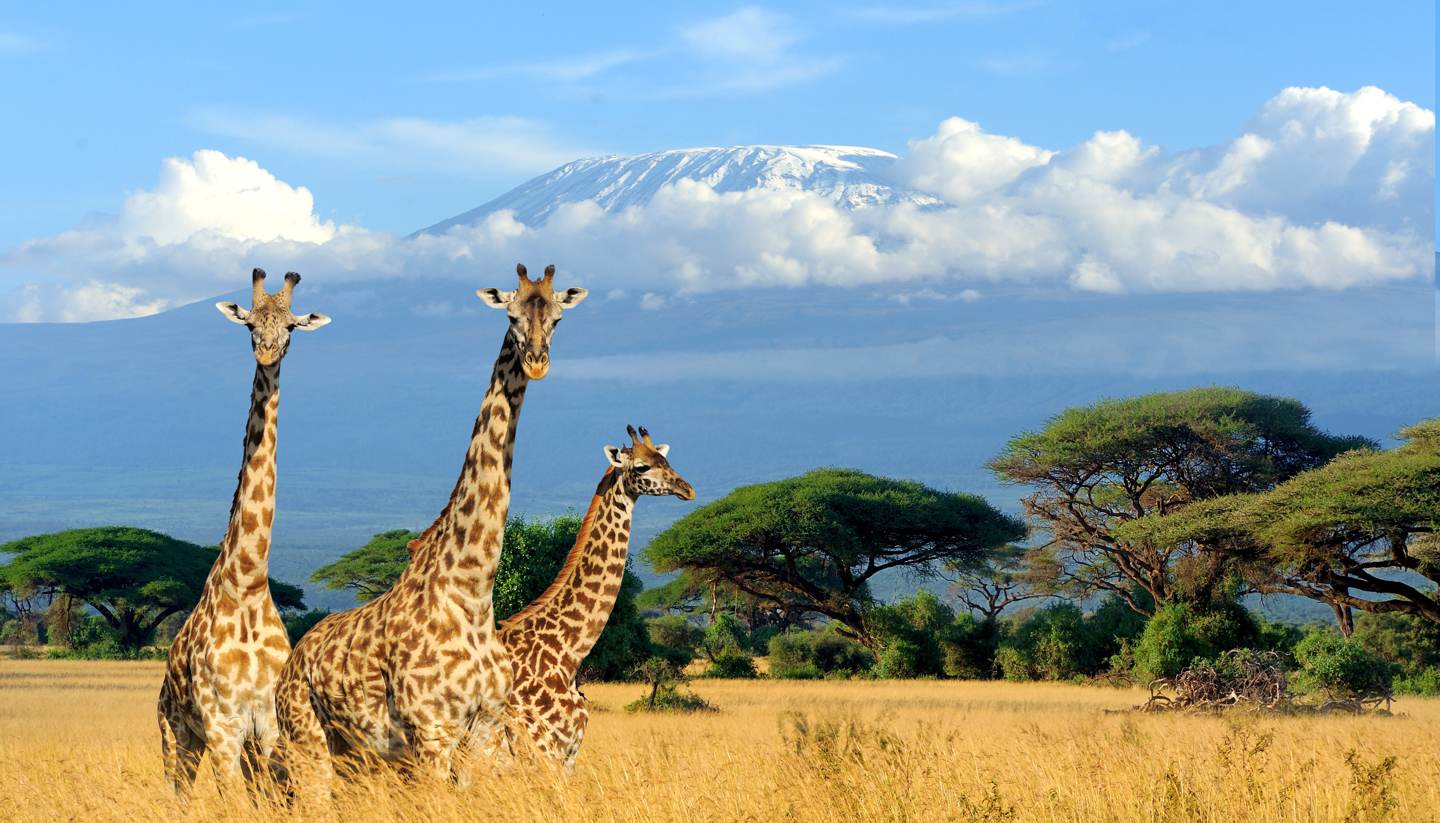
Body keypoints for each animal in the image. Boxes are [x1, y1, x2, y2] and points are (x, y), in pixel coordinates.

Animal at [157, 270, 331, 799]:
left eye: (291, 327)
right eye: (250, 324)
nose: (268, 353)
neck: (249, 583)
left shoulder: (268, 726)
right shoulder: (222, 726)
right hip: (176, 734)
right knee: (177, 793)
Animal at [275, 264, 590, 788]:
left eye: (559, 318)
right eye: (511, 315)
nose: (537, 362)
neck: (471, 591)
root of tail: (293, 659)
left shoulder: (484, 732)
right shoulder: (431, 733)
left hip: (356, 757)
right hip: (308, 742)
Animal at [486, 428, 699, 771]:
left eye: (666, 460)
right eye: (642, 467)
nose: (687, 489)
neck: (567, 654)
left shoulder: (568, 755)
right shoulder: (544, 751)